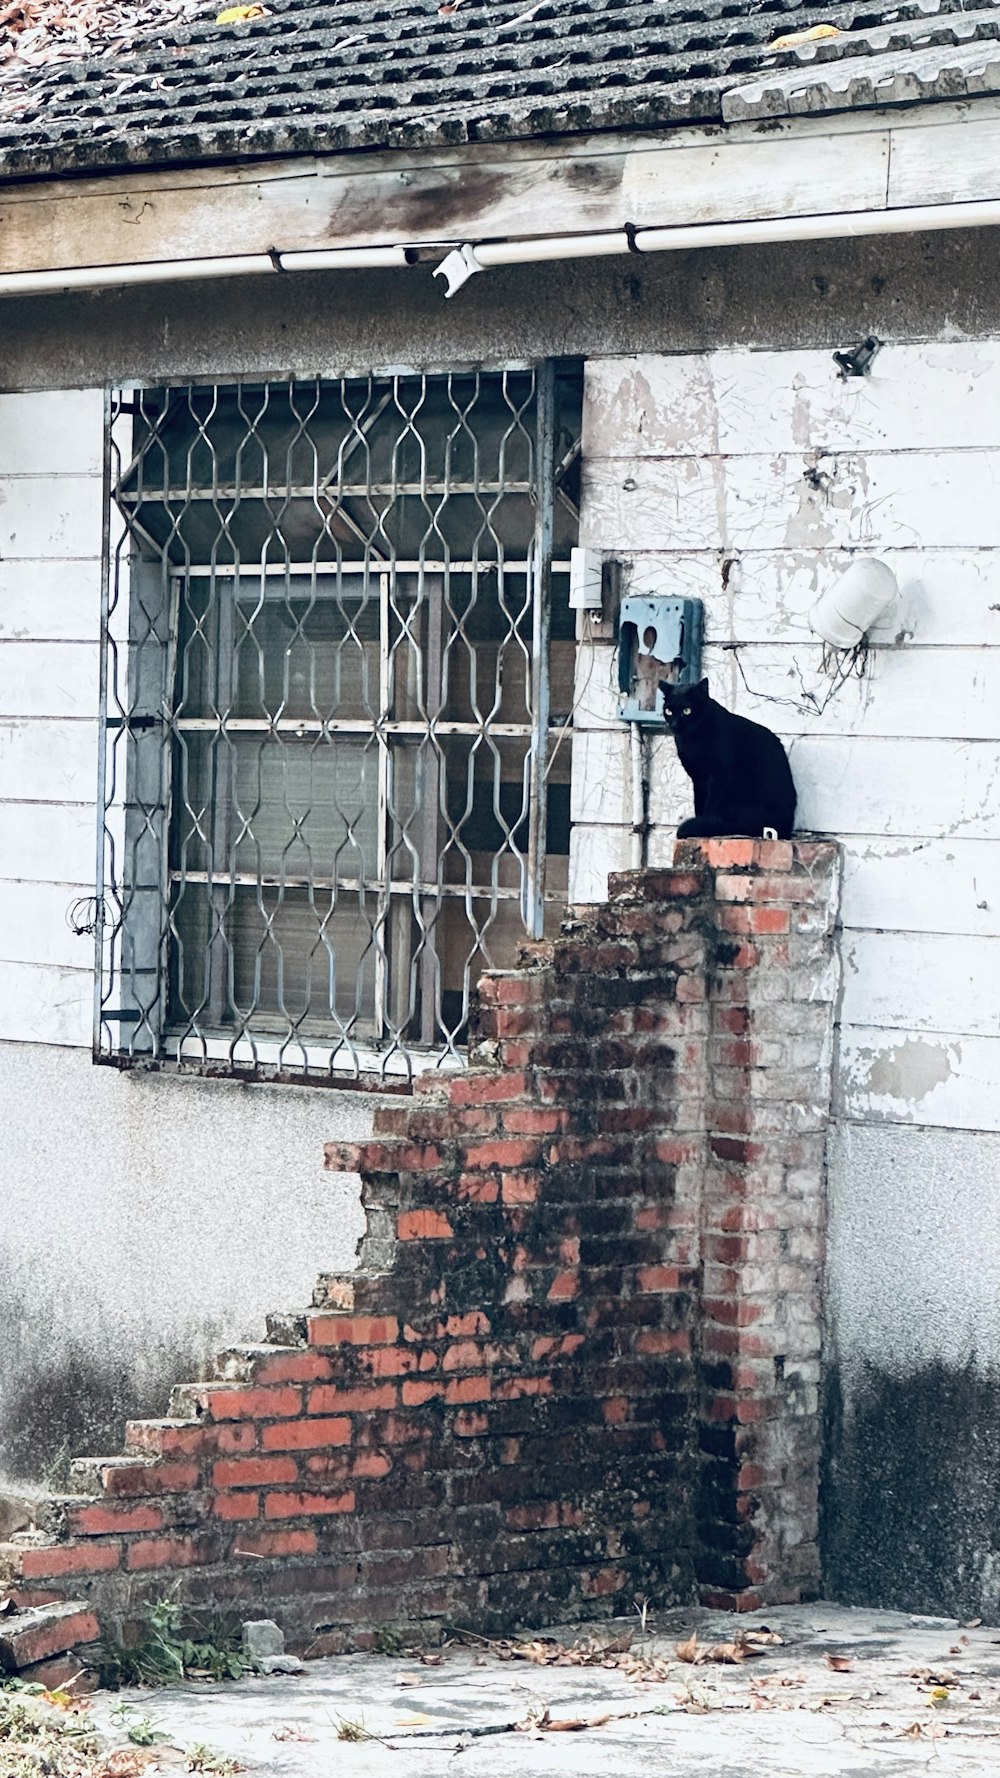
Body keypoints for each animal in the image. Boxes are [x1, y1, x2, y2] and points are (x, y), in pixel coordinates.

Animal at [654, 682, 793, 842]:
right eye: (669, 711)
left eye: (687, 711)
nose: (675, 725)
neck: (693, 741)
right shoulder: (698, 778)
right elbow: (699, 802)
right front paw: (700, 822)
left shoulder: (720, 775)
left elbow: (712, 804)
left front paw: (703, 825)